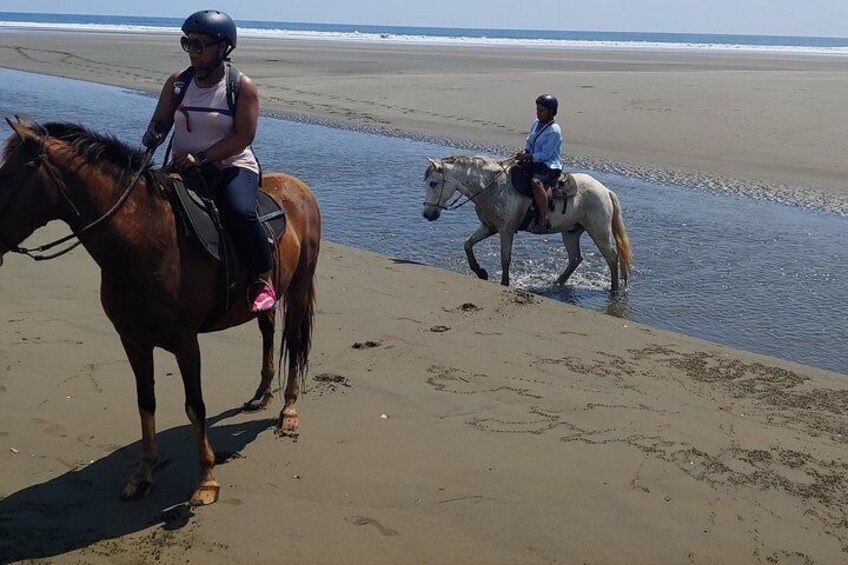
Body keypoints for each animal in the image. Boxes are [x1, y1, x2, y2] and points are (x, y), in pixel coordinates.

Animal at [0, 118, 322, 502]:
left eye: (9, 176)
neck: (147, 239)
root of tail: (298, 187)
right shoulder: (133, 340)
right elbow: (146, 402)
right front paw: (143, 473)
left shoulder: (186, 342)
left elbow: (195, 406)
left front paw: (206, 479)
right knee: (268, 332)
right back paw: (262, 393)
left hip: (300, 286)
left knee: (294, 340)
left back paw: (288, 408)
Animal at [420, 156, 632, 290]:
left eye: (433, 183)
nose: (427, 214)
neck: (492, 187)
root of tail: (605, 190)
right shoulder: (489, 227)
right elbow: (467, 244)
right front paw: (480, 272)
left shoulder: (506, 230)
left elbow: (505, 258)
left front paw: (504, 283)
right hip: (571, 232)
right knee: (575, 259)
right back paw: (556, 284)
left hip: (599, 232)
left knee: (612, 258)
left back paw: (614, 291)